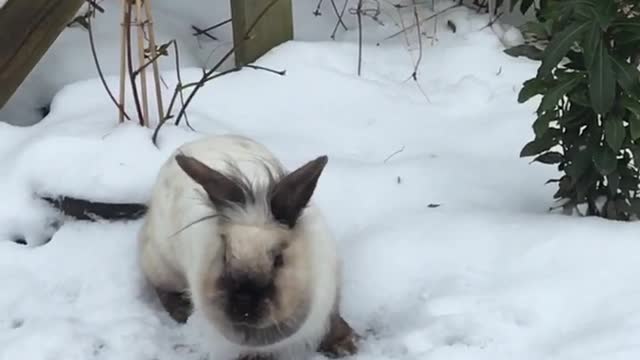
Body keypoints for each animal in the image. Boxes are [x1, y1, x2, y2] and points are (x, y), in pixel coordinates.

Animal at [138, 135, 358, 360]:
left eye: (278, 260)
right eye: (224, 257)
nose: (243, 306)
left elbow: (334, 320)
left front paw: (346, 345)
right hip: (161, 263)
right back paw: (181, 311)